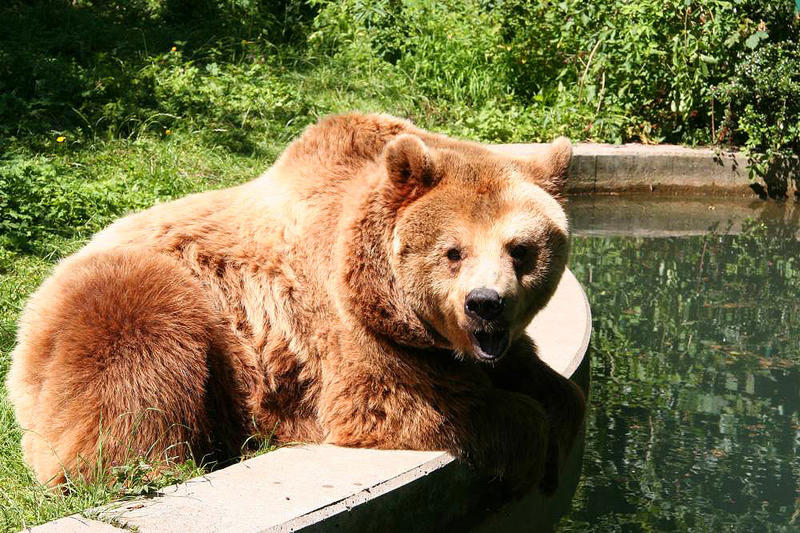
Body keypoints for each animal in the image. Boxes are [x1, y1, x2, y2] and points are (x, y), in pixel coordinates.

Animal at [4, 112, 580, 490]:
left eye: (521, 249)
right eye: (453, 251)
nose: (486, 303)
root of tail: (33, 303)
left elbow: (542, 379)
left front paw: (561, 411)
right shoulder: (351, 332)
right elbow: (403, 403)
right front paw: (536, 446)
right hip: (141, 299)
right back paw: (152, 467)